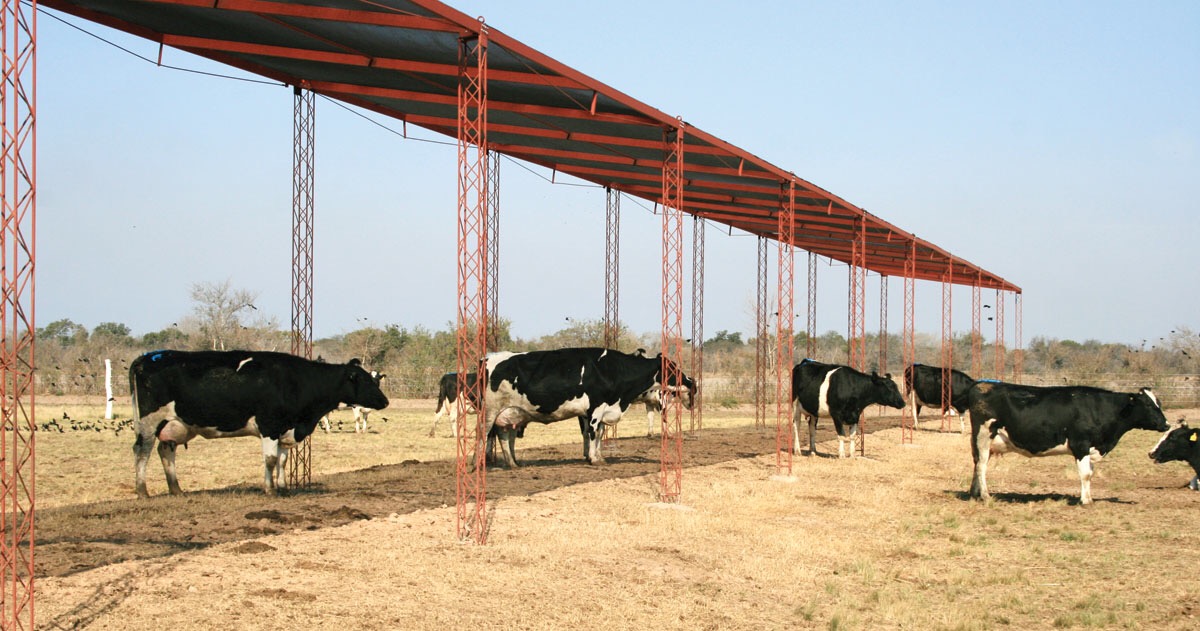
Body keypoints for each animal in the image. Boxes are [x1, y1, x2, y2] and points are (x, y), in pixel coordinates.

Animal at [135, 350, 388, 499]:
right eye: (366, 380)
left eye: (374, 379)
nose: (385, 401)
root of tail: (146, 357)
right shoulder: (269, 426)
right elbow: (270, 460)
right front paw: (270, 489)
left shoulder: (286, 429)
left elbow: (283, 460)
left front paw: (284, 487)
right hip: (148, 423)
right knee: (142, 451)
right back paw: (142, 491)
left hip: (174, 425)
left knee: (166, 450)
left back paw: (176, 489)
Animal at [482, 347, 700, 467]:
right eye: (672, 368)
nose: (691, 382)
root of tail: (487, 358)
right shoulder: (595, 408)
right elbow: (593, 432)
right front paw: (593, 459)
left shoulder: (599, 410)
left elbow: (598, 433)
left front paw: (598, 456)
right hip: (489, 412)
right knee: (483, 435)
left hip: (509, 413)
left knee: (503, 435)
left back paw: (512, 464)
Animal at [969, 381, 1166, 508]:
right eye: (1148, 405)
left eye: (1159, 403)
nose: (1166, 424)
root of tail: (981, 385)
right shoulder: (1081, 445)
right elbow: (1085, 474)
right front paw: (1085, 501)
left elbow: (1090, 474)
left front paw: (1088, 498)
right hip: (983, 436)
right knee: (982, 466)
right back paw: (985, 496)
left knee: (977, 464)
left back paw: (975, 493)